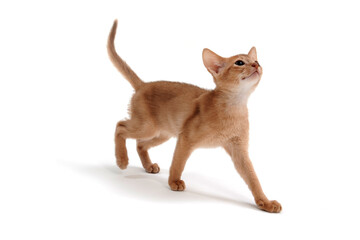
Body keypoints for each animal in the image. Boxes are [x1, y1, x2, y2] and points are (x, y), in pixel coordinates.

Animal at [107, 19, 282, 213]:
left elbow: (253, 178)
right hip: (147, 127)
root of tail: (143, 85)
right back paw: (122, 160)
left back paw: (148, 166)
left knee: (140, 144)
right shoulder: (185, 139)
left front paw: (265, 202)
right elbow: (178, 163)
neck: (234, 107)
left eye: (256, 60)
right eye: (239, 62)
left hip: (162, 134)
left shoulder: (239, 150)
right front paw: (174, 182)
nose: (257, 65)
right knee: (120, 126)